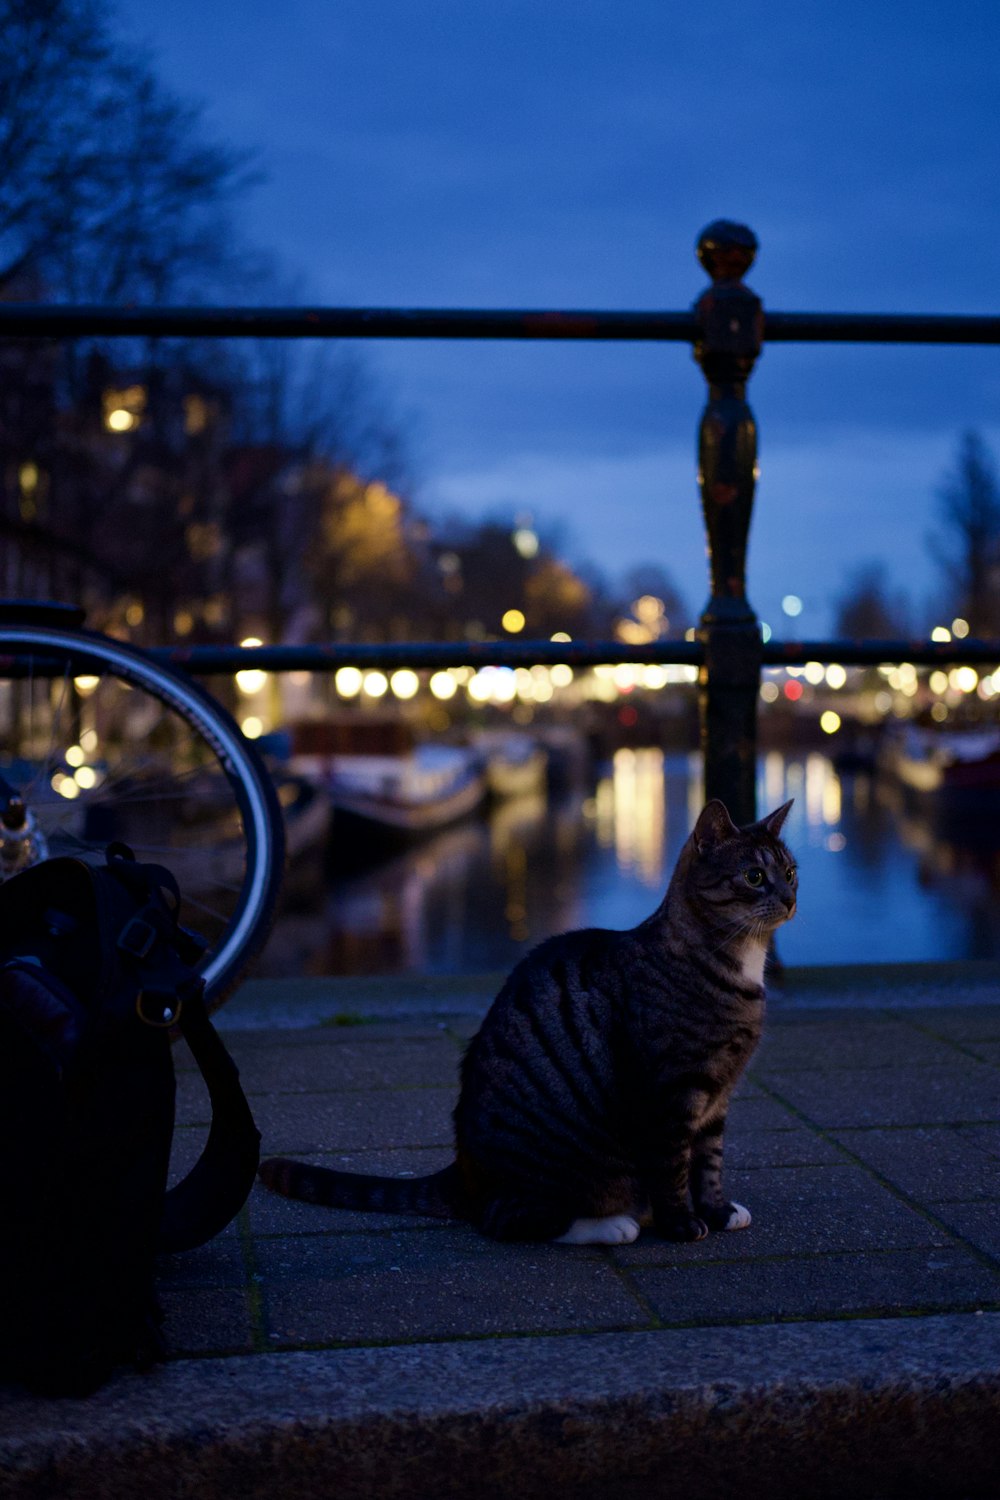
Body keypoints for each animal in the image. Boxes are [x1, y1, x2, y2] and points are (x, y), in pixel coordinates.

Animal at [257, 804, 797, 1248]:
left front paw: (717, 1210)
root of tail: (465, 1170)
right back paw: (610, 1225)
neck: (738, 968)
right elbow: (672, 1166)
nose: (791, 899)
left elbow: (709, 1160)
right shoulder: (669, 1092)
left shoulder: (717, 1095)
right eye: (754, 876)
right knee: (509, 1219)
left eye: (790, 872)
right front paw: (681, 1223)